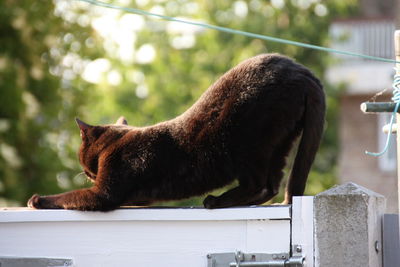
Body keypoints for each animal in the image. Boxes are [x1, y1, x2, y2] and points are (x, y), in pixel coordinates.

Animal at [28, 54, 324, 211]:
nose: (86, 173)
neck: (115, 144)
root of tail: (301, 70)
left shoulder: (104, 193)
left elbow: (70, 196)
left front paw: (37, 199)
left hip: (249, 146)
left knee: (258, 183)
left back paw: (215, 201)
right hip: (281, 144)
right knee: (272, 184)